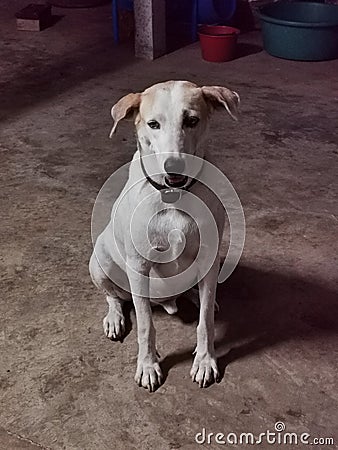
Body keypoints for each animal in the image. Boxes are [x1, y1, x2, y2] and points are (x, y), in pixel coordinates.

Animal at [88, 81, 239, 390]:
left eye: (192, 120)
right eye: (153, 124)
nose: (174, 167)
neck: (173, 195)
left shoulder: (209, 257)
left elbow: (205, 322)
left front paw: (205, 360)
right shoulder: (138, 266)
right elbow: (146, 324)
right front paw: (147, 365)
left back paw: (197, 296)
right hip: (99, 261)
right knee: (114, 297)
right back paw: (114, 318)